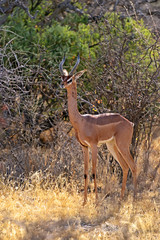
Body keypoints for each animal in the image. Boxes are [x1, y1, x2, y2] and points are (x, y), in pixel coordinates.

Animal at [59, 54, 137, 206]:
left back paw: (134, 198)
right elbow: (85, 172)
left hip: (122, 145)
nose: (61, 85)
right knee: (125, 167)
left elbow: (94, 171)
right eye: (62, 77)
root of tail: (130, 123)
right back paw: (121, 198)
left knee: (133, 166)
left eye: (70, 79)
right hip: (112, 146)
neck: (80, 121)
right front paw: (84, 201)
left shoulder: (94, 145)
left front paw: (95, 200)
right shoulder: (84, 147)